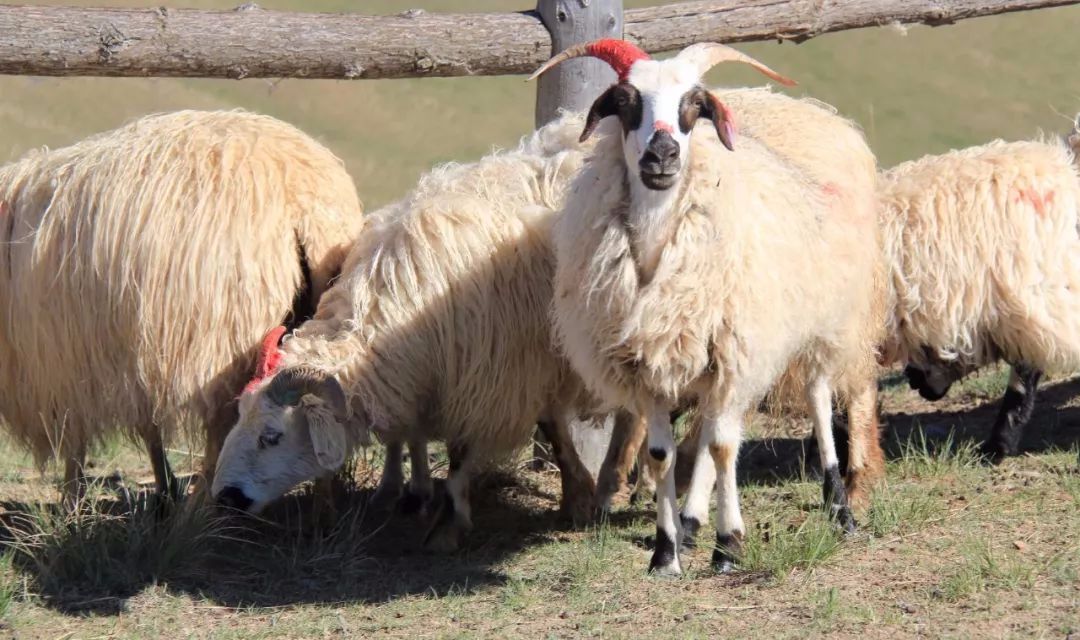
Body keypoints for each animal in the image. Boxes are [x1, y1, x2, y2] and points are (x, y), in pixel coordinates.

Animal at [0, 111, 362, 498]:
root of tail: (303, 204)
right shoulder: (132, 350)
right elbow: (149, 426)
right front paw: (163, 487)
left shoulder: (66, 359)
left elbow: (77, 438)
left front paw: (73, 498)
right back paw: (322, 504)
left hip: (221, 340)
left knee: (222, 426)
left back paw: (200, 504)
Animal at [209, 111, 600, 548]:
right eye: (239, 417)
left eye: (272, 436)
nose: (224, 498)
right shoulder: (418, 373)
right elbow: (404, 431)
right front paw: (400, 489)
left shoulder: (481, 380)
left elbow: (461, 452)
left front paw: (449, 522)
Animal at [531, 38, 885, 574]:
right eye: (627, 101)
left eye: (694, 106)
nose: (662, 153)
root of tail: (818, 114)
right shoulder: (650, 365)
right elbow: (662, 455)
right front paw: (666, 552)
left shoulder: (735, 354)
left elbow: (723, 446)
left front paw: (729, 545)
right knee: (703, 432)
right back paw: (692, 521)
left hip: (825, 321)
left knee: (818, 402)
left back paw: (837, 505)